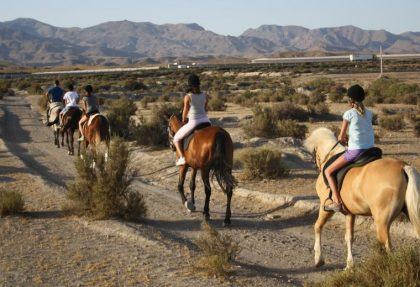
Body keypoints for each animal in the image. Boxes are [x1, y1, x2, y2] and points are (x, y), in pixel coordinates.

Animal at [306, 128, 420, 270]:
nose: (316, 165)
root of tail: (402, 166)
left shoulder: (325, 208)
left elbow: (317, 227)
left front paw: (318, 259)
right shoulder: (350, 213)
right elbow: (349, 237)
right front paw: (349, 265)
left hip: (381, 222)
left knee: (387, 246)